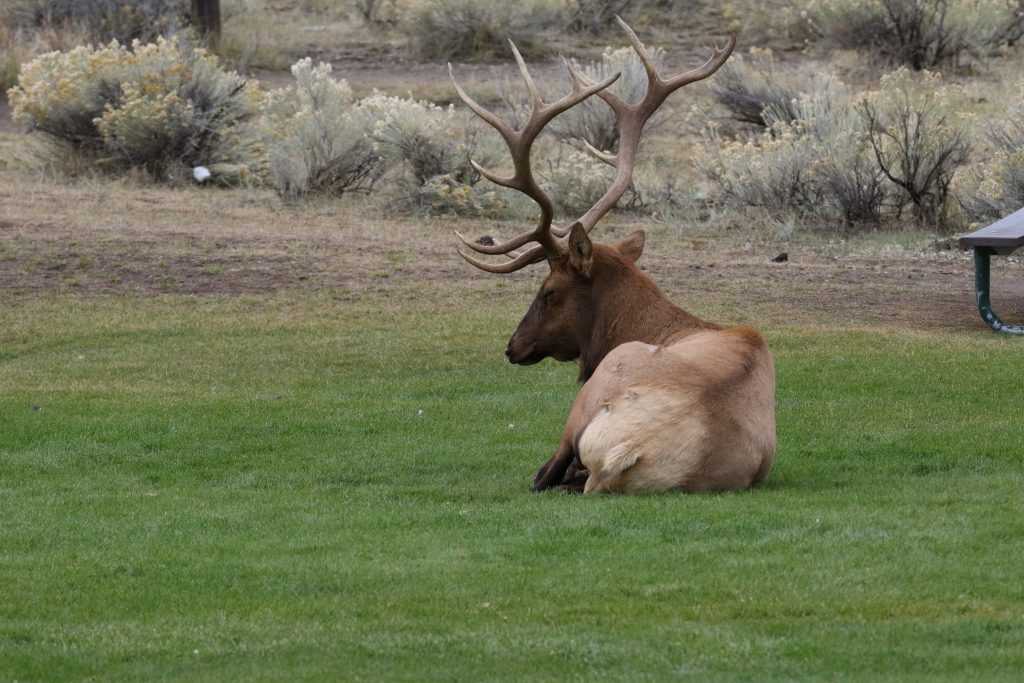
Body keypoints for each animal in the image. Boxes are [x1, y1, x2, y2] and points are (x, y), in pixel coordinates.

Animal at [448, 18, 774, 493]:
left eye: (548, 290)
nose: (512, 346)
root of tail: (631, 448)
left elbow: (541, 474)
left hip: (591, 397)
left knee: (549, 474)